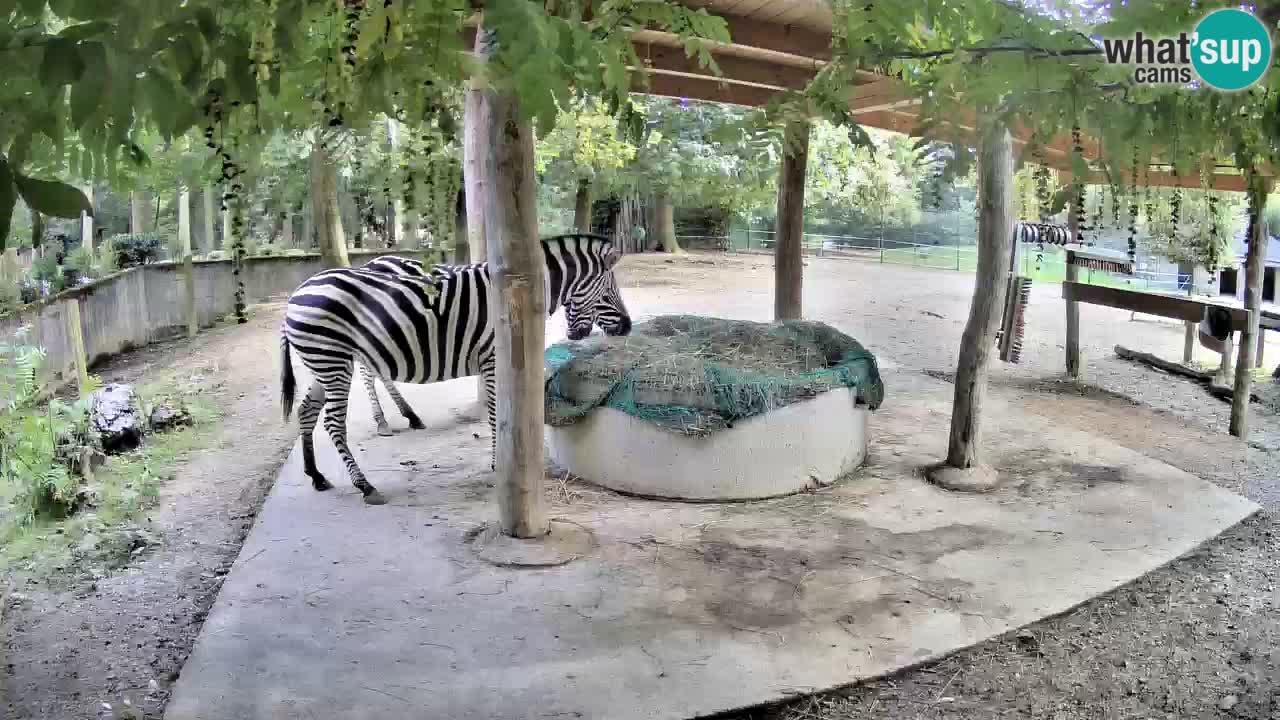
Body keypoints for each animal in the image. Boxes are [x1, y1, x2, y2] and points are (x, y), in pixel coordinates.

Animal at [280, 233, 629, 502]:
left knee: (306, 411)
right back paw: (365, 484)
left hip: (324, 362)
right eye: (610, 290)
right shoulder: (493, 358)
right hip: (333, 360)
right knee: (333, 422)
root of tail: (296, 294)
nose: (626, 327)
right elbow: (495, 415)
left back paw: (316, 476)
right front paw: (498, 465)